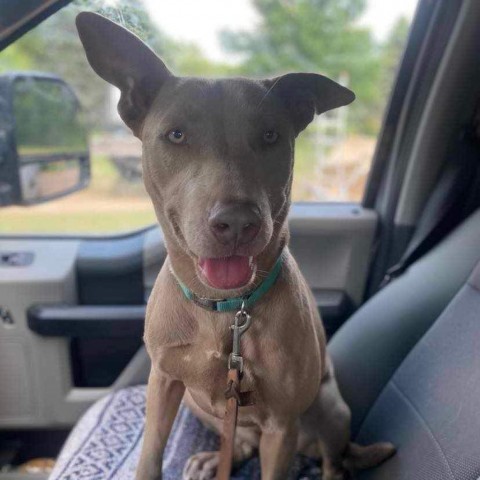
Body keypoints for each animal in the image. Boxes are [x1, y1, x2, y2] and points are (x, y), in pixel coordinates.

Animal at [77, 12, 396, 480]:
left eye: (270, 136)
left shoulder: (281, 424)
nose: (237, 222)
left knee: (332, 457)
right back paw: (216, 457)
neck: (224, 310)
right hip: (198, 405)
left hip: (330, 408)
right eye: (176, 135)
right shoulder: (163, 382)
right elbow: (151, 452)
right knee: (239, 441)